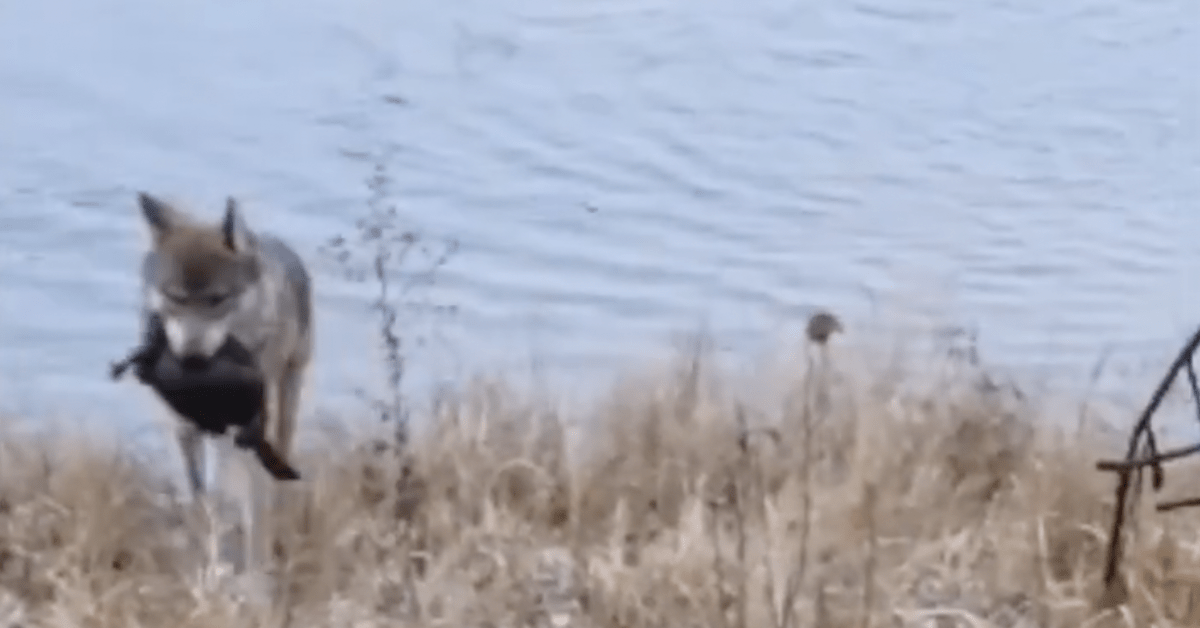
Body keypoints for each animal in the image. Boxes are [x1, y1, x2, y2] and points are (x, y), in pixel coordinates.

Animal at [132, 192, 314, 581]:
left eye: (217, 299)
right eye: (174, 297)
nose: (190, 359)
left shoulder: (253, 430)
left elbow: (255, 508)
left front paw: (257, 576)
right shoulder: (185, 428)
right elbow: (202, 500)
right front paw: (208, 559)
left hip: (287, 394)